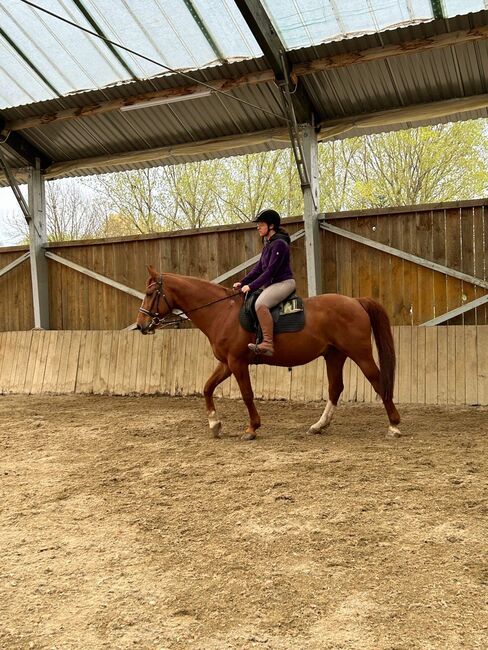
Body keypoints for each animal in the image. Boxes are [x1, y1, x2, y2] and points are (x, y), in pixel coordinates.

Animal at [136, 266, 400, 438]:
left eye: (150, 293)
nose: (141, 325)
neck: (223, 312)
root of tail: (355, 301)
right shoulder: (226, 363)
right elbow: (207, 387)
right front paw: (214, 424)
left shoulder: (237, 362)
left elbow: (247, 394)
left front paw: (252, 428)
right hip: (334, 355)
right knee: (336, 388)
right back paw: (319, 426)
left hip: (360, 354)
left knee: (378, 382)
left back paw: (394, 426)